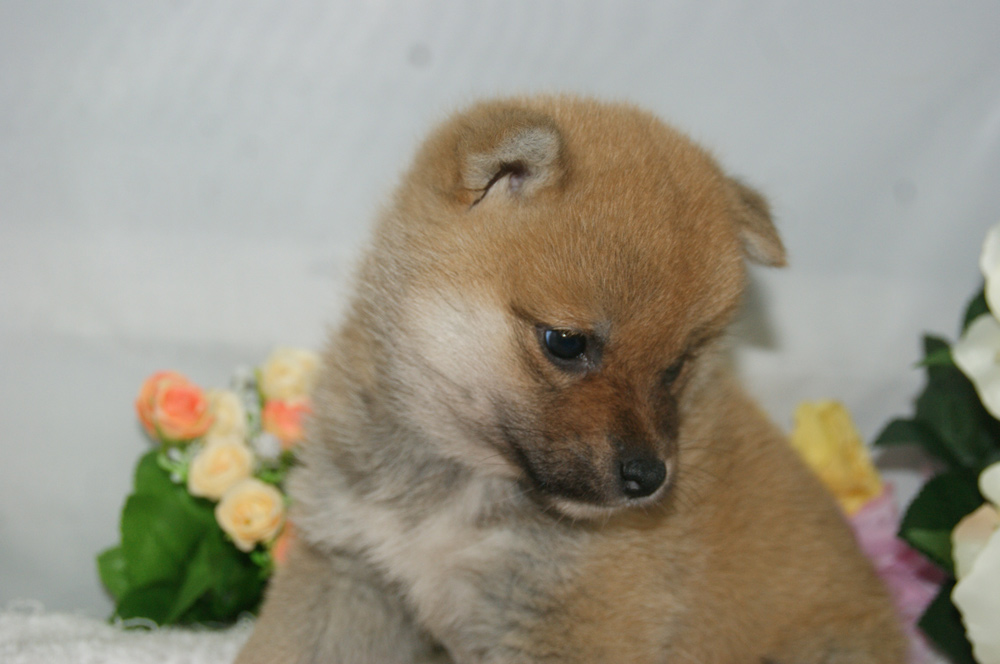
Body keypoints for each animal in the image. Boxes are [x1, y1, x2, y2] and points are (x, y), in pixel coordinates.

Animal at [238, 96, 912, 660]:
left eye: (676, 366)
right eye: (566, 343)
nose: (649, 477)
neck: (459, 485)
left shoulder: (571, 624)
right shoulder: (347, 569)